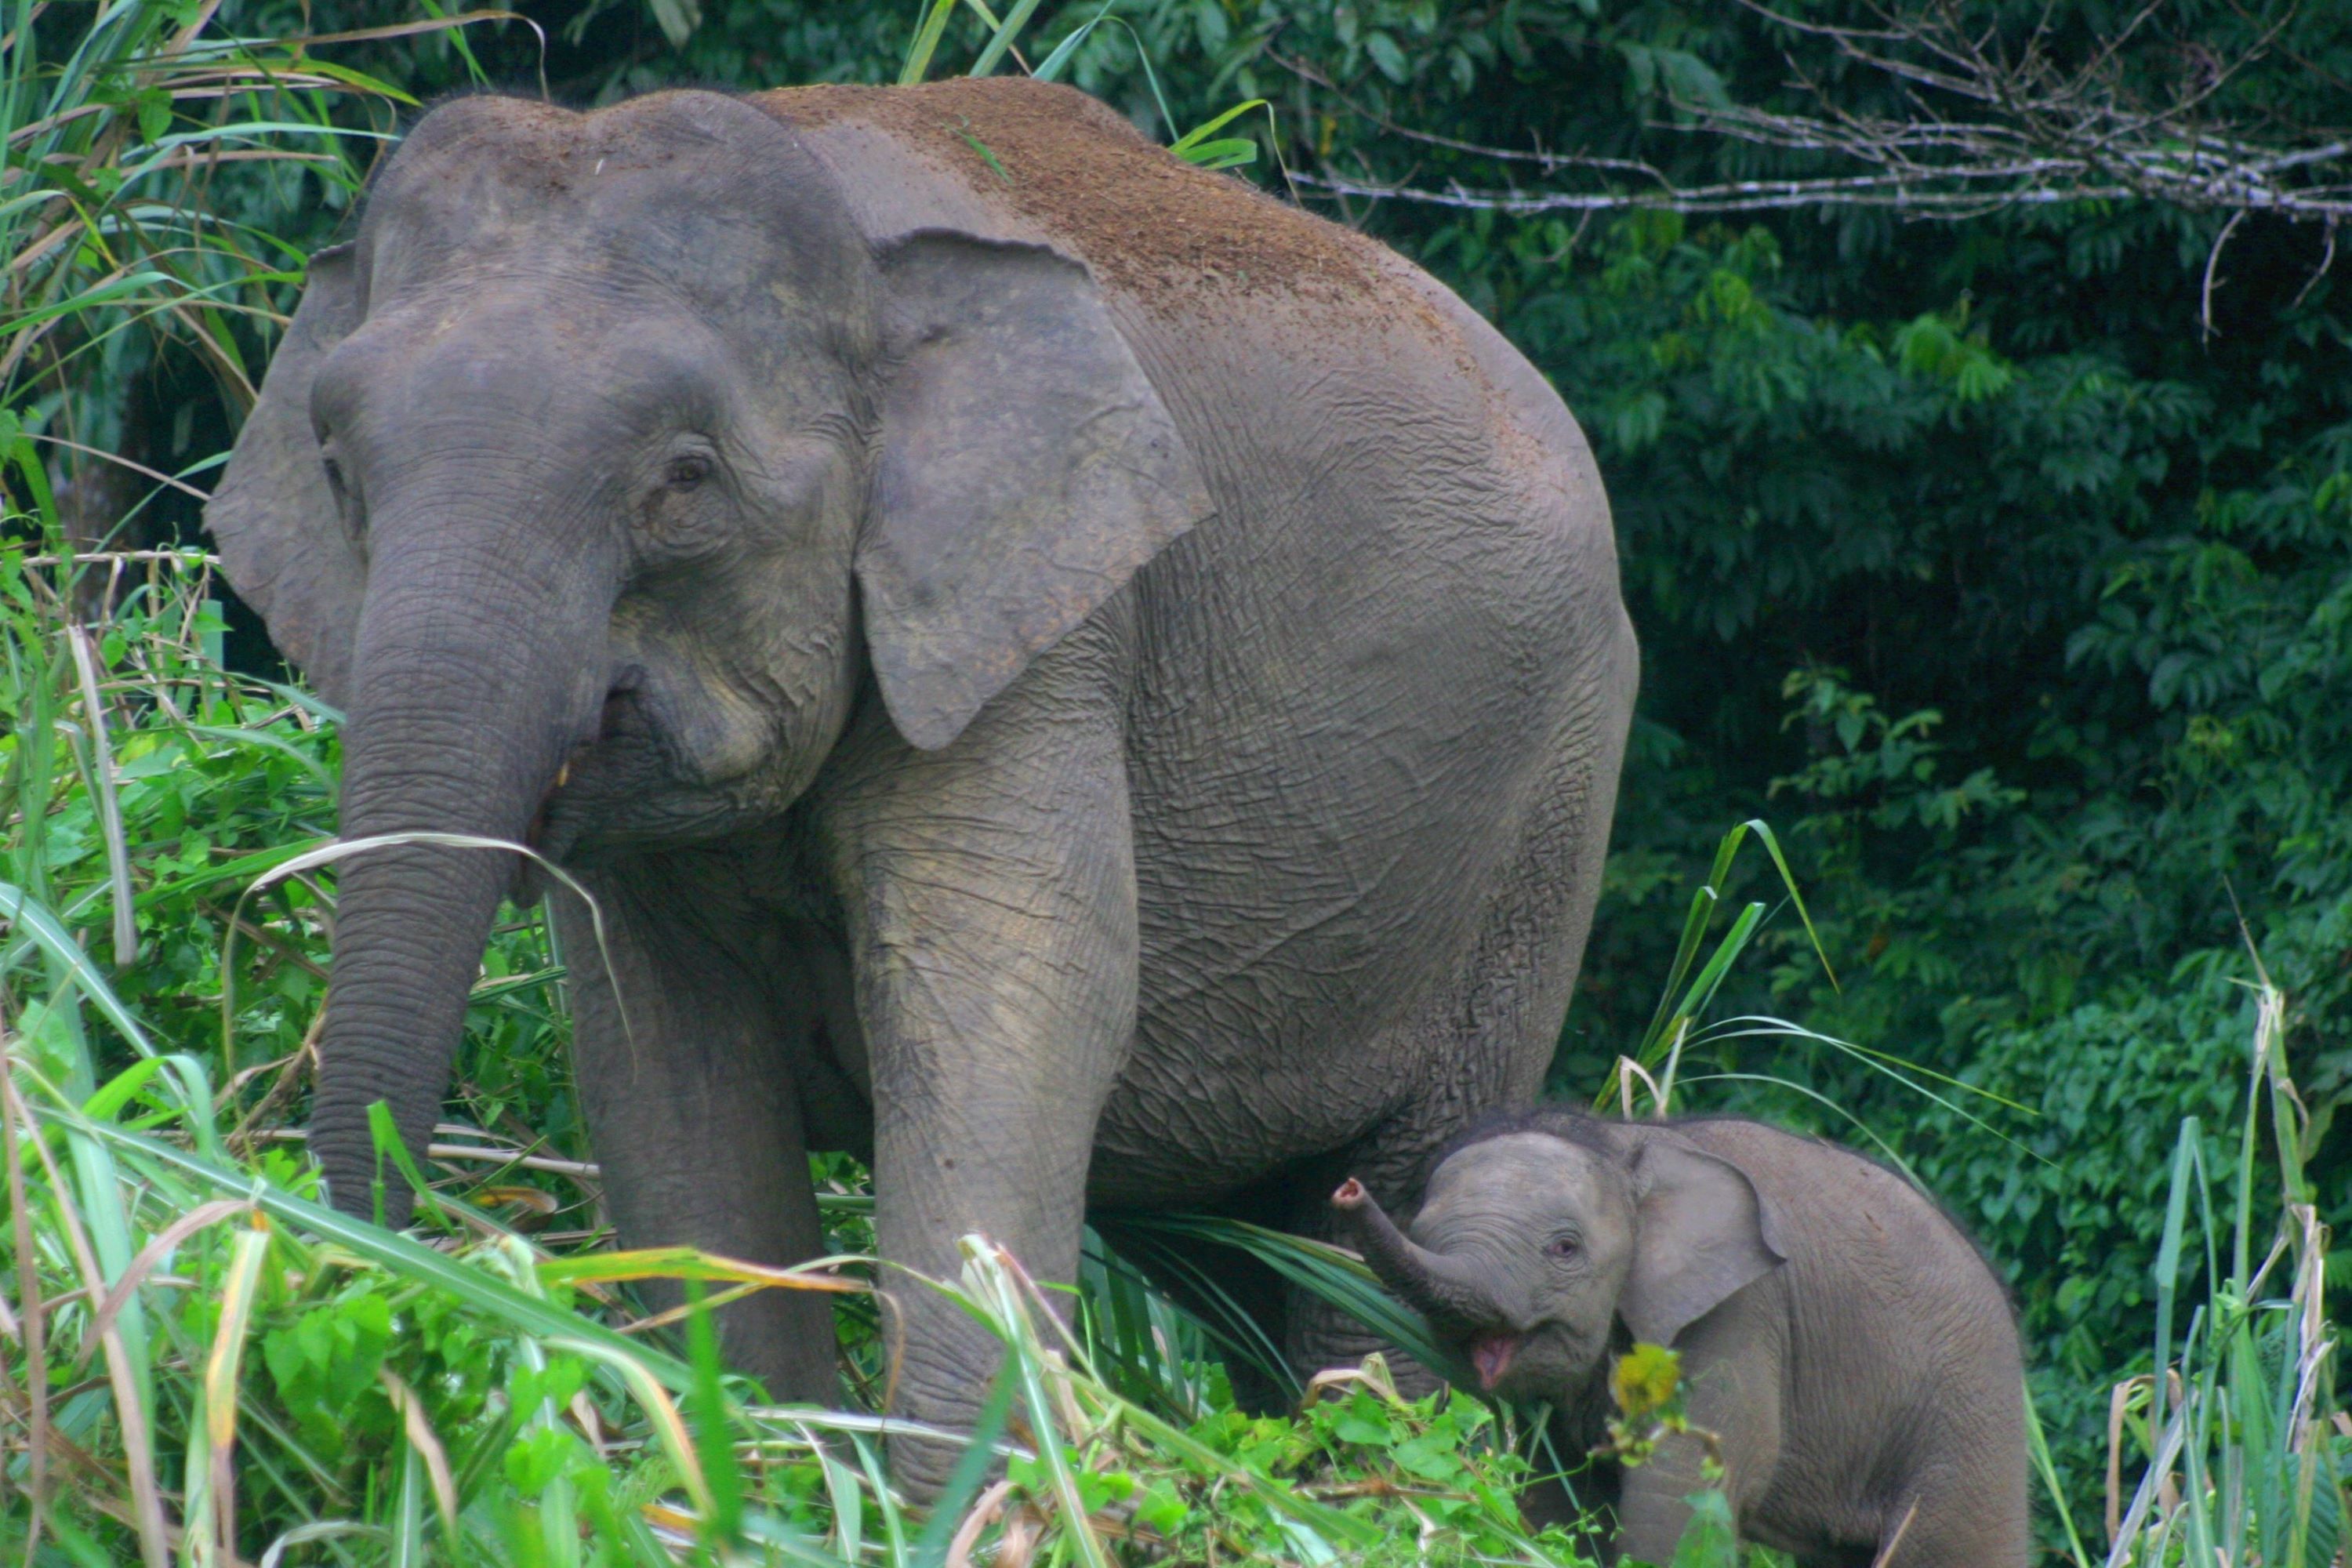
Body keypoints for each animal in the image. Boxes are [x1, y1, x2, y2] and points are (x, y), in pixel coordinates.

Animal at [205, 75, 1637, 1482]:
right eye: (335, 469)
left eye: (685, 479)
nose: (346, 1292)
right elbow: (662, 1059)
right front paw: (767, 1468)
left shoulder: (1048, 633)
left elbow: (1017, 1000)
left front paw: (967, 1488)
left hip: (1545, 811)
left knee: (1388, 1223)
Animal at [1332, 1111, 2028, 1565]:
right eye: (1422, 1229)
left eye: (1565, 1249)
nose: (1346, 1187)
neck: (1618, 1141)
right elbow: (1556, 1504)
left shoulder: (1738, 1315)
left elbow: (1674, 1504)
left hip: (1967, 1418)